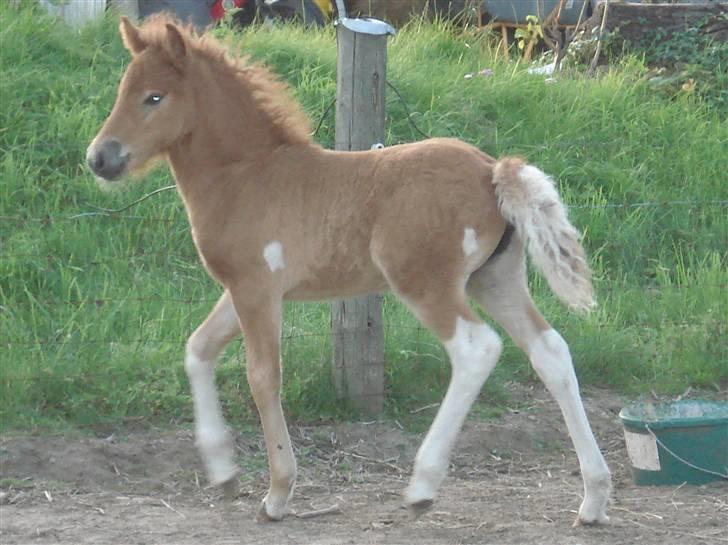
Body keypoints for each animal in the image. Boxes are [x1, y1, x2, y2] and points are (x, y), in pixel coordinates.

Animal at [85, 17, 612, 524]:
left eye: (154, 97)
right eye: (123, 90)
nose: (99, 158)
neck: (247, 176)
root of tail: (491, 171)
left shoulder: (256, 288)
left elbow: (263, 376)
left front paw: (278, 494)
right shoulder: (243, 289)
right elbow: (198, 350)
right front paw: (223, 472)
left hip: (426, 283)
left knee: (476, 348)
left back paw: (422, 487)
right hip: (495, 280)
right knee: (550, 351)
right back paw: (593, 498)